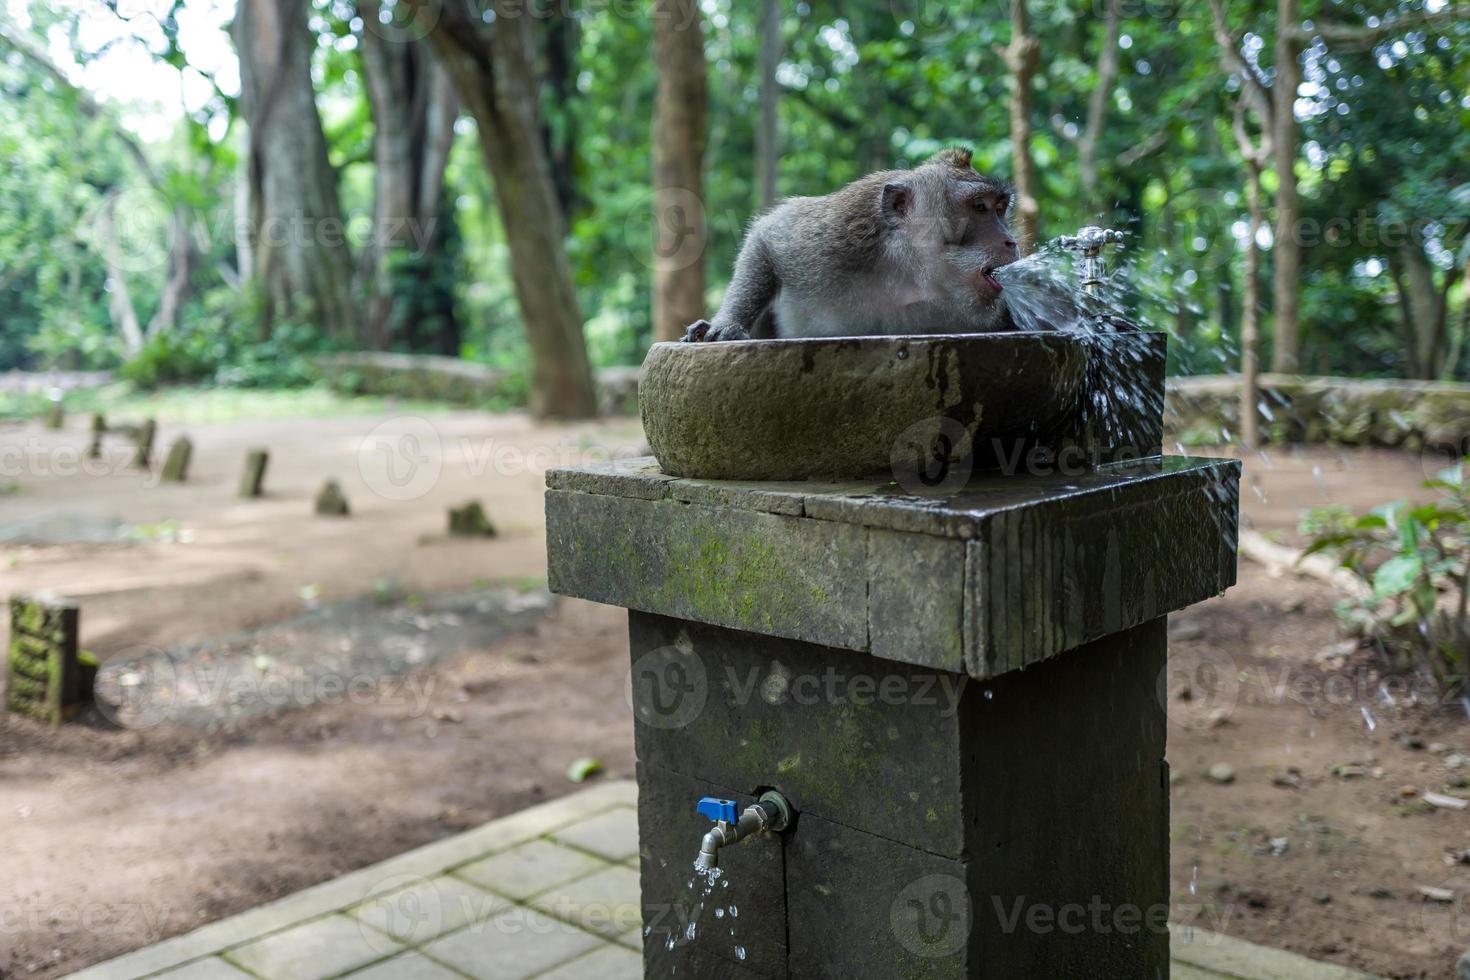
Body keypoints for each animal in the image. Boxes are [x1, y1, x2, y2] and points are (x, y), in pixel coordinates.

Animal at [682, 147, 1017, 343]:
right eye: (980, 207)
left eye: (1000, 209)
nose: (1011, 241)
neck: (904, 272)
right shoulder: (832, 240)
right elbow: (767, 237)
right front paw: (727, 324)